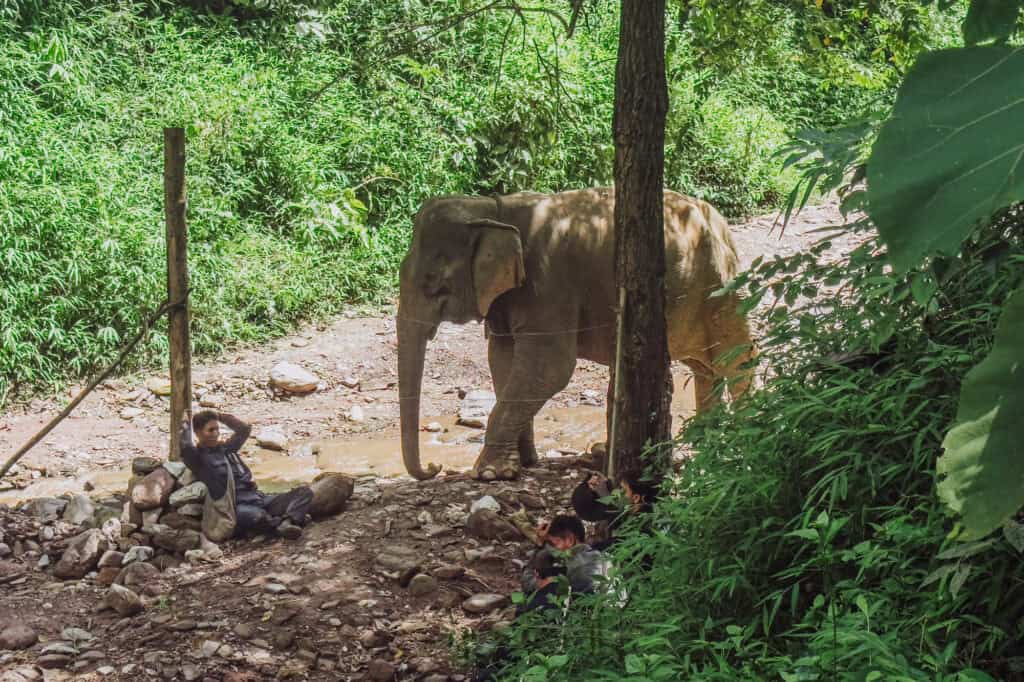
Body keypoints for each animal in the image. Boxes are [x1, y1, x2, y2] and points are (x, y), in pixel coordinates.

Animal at [397, 187, 755, 482]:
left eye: (433, 283)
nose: (434, 467)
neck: (492, 208)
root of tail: (720, 222)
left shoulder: (549, 284)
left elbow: (550, 367)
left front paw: (488, 473)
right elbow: (502, 359)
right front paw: (522, 463)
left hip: (723, 286)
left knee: (737, 359)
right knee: (703, 368)